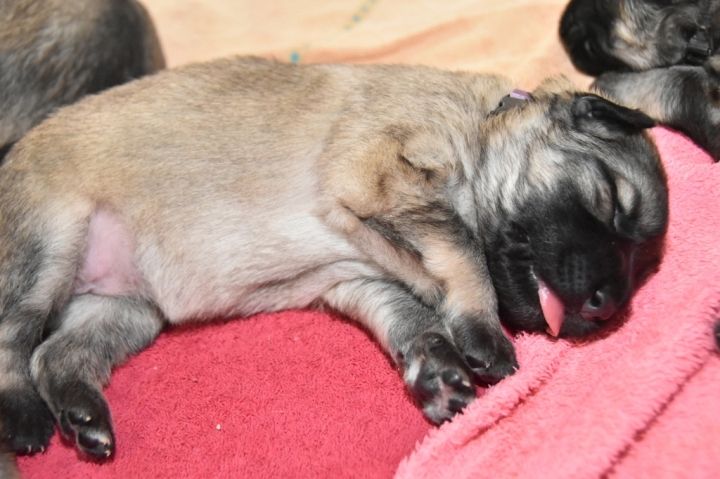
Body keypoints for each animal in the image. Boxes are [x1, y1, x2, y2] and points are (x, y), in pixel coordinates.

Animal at [0, 57, 668, 460]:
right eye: (610, 199)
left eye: (642, 267)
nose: (608, 306)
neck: (478, 121)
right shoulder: (381, 174)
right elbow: (464, 252)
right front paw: (480, 332)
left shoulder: (355, 277)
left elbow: (412, 313)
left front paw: (438, 369)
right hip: (47, 247)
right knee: (14, 341)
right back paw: (25, 419)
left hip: (124, 308)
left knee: (56, 355)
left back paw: (84, 416)